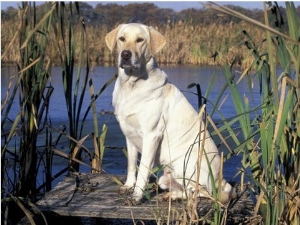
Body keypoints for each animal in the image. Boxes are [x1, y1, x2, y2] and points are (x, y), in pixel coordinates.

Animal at [105, 23, 237, 203]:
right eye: (122, 38)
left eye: (140, 40)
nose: (125, 54)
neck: (131, 86)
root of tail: (220, 180)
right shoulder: (129, 135)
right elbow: (131, 164)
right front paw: (128, 186)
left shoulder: (151, 135)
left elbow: (143, 169)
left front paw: (137, 195)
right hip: (165, 178)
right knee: (186, 190)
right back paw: (170, 195)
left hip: (187, 165)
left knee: (200, 192)